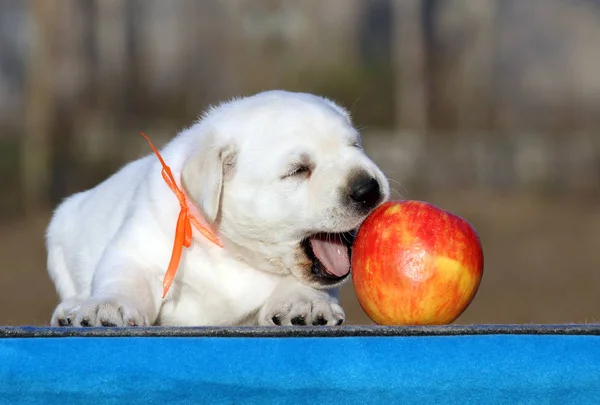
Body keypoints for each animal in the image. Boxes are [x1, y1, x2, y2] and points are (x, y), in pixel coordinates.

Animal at [47, 90, 390, 326]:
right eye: (298, 170)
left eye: (355, 146)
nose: (369, 188)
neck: (230, 251)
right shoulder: (138, 247)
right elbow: (124, 278)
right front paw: (108, 306)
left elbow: (305, 284)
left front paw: (305, 304)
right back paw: (69, 310)